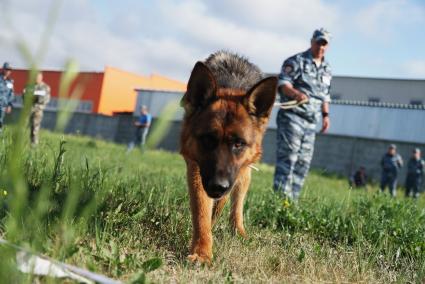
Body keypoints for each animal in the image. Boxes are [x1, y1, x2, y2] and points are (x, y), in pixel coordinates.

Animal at [180, 51, 276, 264]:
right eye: (208, 139)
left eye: (239, 144)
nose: (218, 186)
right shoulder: (197, 170)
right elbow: (201, 211)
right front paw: (202, 251)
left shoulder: (233, 174)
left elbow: (223, 204)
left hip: (244, 173)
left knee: (236, 205)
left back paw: (238, 231)